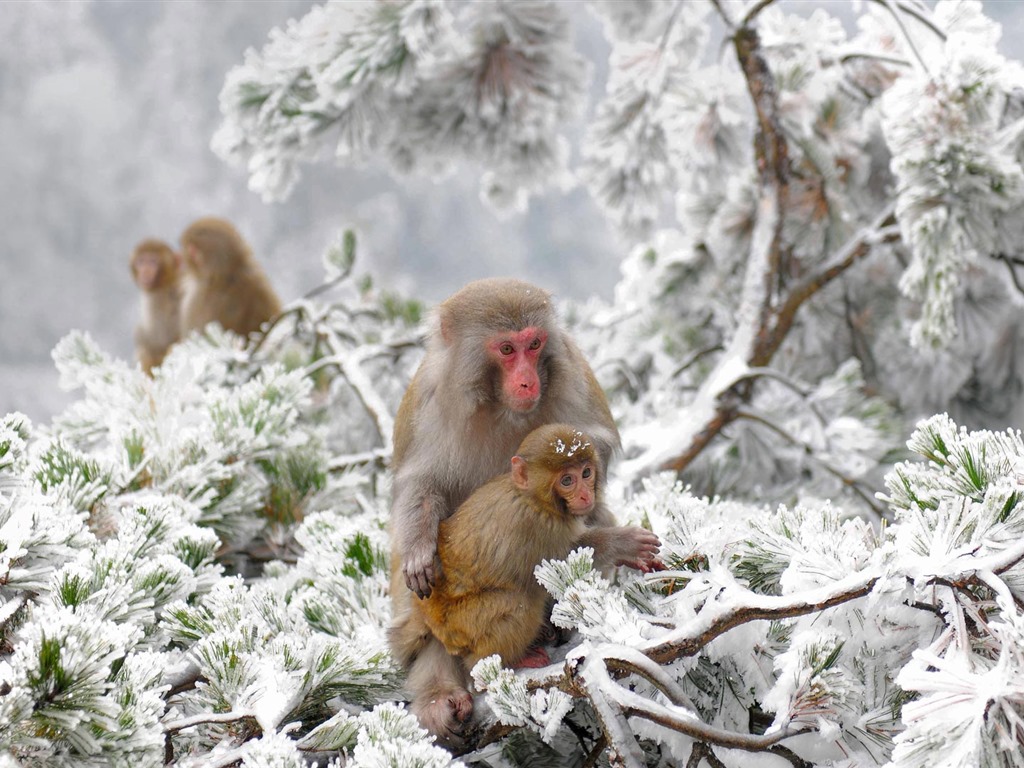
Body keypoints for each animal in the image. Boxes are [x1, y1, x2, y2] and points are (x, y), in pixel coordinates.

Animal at [391, 423, 663, 749]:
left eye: (586, 473)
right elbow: (562, 559)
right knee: (519, 602)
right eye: (567, 480)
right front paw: (623, 544)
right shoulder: (537, 526)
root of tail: (428, 614)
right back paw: (500, 665)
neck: (533, 498)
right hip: (462, 622)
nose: (585, 494)